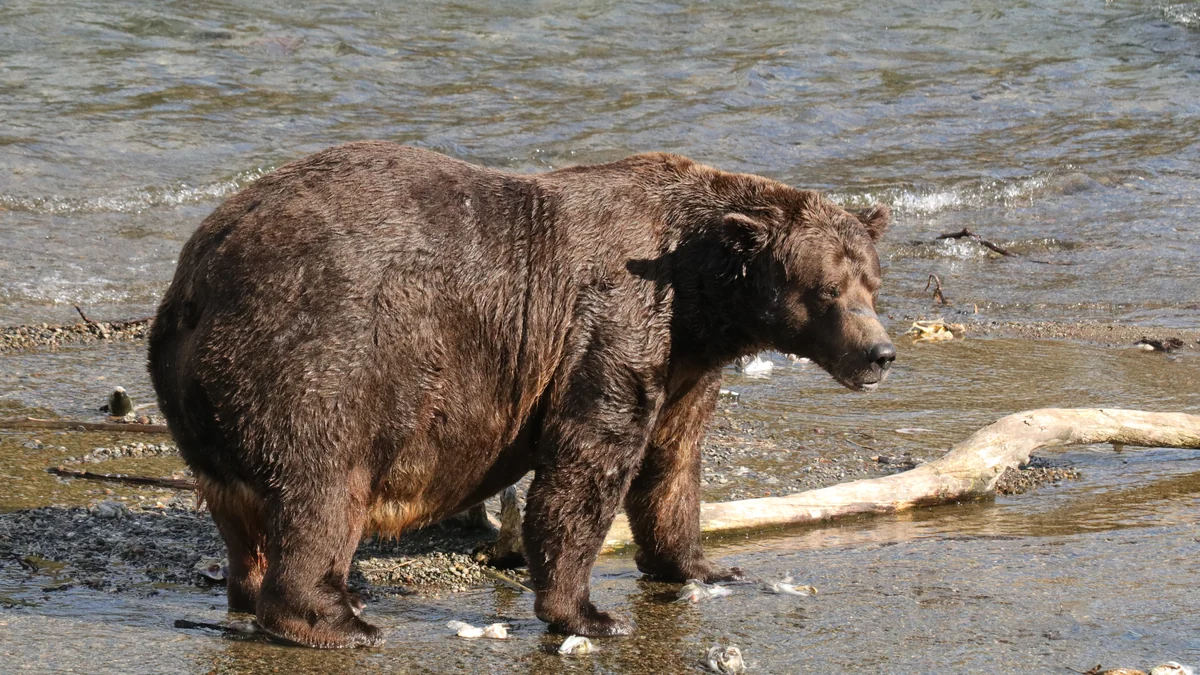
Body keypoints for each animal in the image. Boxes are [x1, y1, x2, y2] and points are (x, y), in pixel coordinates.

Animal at [148, 142, 895, 648]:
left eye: (871, 282)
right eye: (826, 289)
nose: (879, 353)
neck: (702, 296)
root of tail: (194, 280)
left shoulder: (684, 363)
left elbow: (672, 464)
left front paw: (703, 566)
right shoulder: (614, 320)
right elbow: (588, 462)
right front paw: (589, 611)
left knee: (243, 515)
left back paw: (260, 589)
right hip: (321, 350)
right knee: (325, 485)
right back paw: (339, 619)